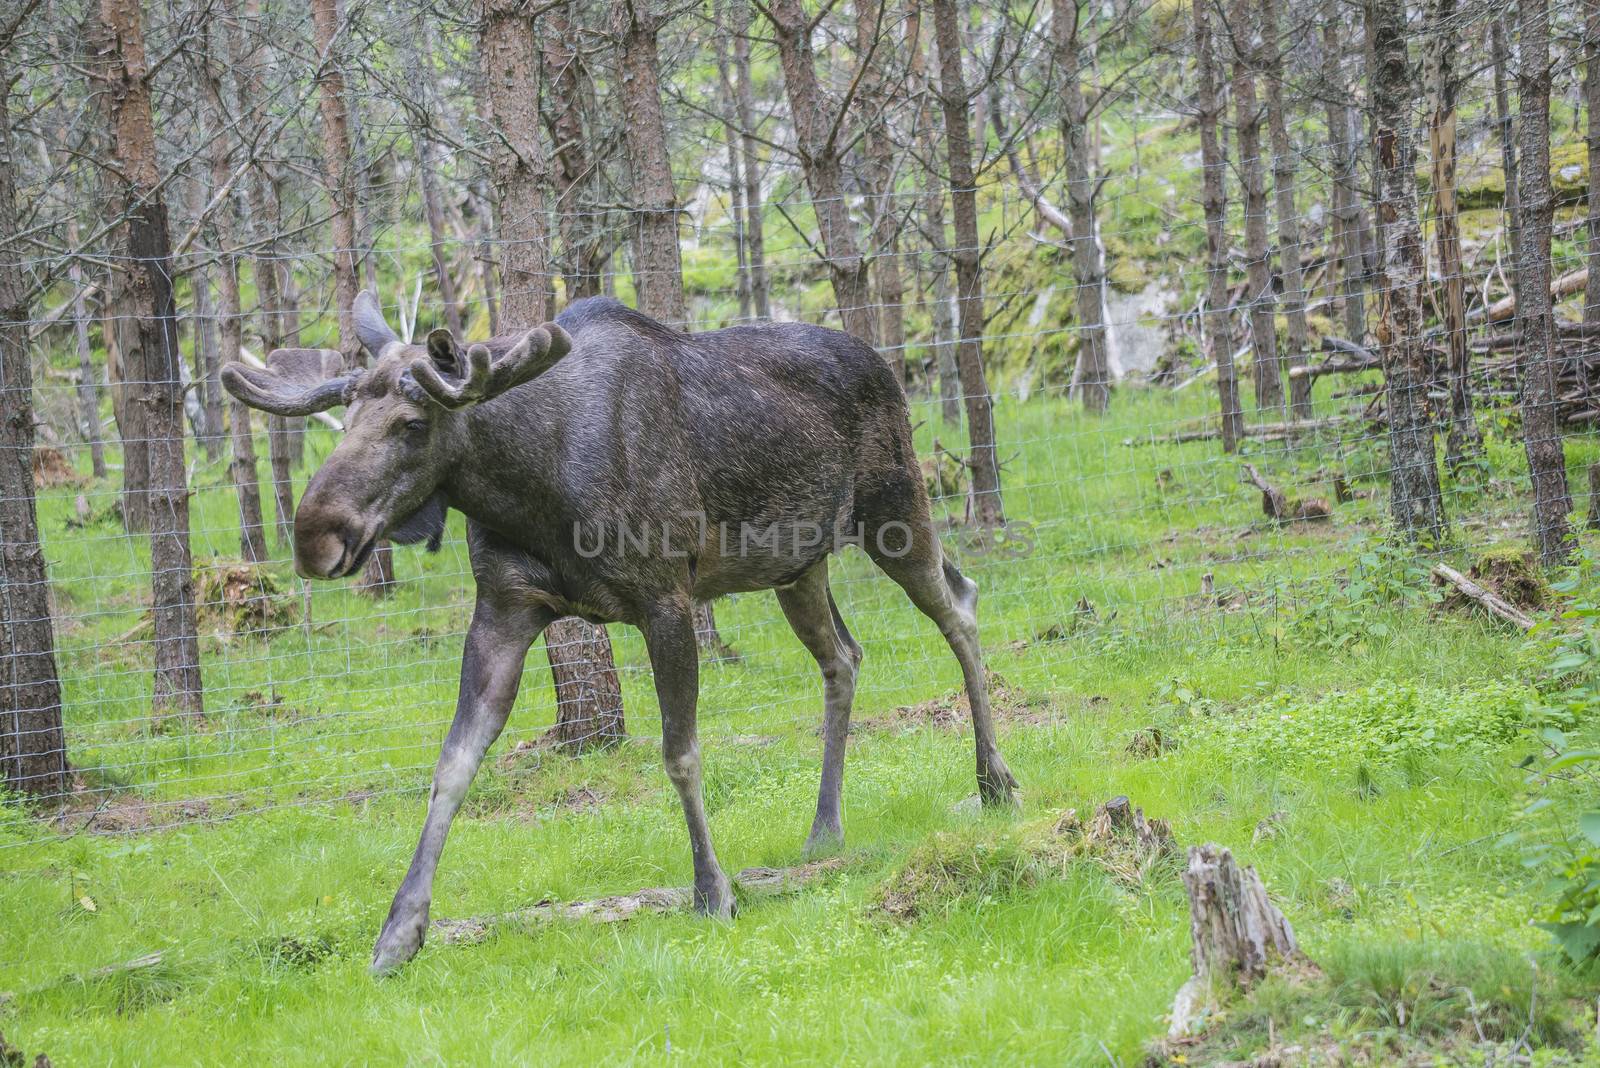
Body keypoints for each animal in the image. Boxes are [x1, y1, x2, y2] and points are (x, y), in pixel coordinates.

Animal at [219, 292, 1017, 978]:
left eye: (413, 426)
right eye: (347, 412)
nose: (315, 536)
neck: (530, 488)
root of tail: (882, 362)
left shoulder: (666, 599)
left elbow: (680, 753)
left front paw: (712, 889)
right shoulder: (504, 608)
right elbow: (452, 764)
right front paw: (398, 933)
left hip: (894, 508)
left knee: (961, 606)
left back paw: (994, 780)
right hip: (798, 563)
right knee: (844, 658)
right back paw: (825, 827)